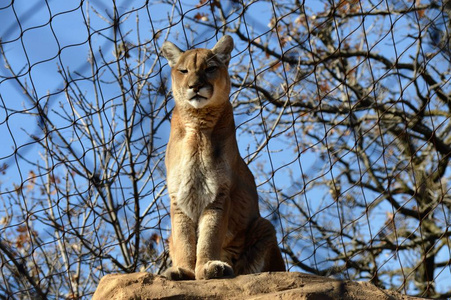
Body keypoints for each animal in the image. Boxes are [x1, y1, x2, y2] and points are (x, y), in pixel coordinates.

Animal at [161, 35, 284, 282]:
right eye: (183, 70)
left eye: (210, 69)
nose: (195, 86)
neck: (198, 126)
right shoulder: (179, 195)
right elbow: (183, 238)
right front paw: (184, 270)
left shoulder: (218, 193)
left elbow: (210, 235)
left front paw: (208, 267)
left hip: (264, 226)